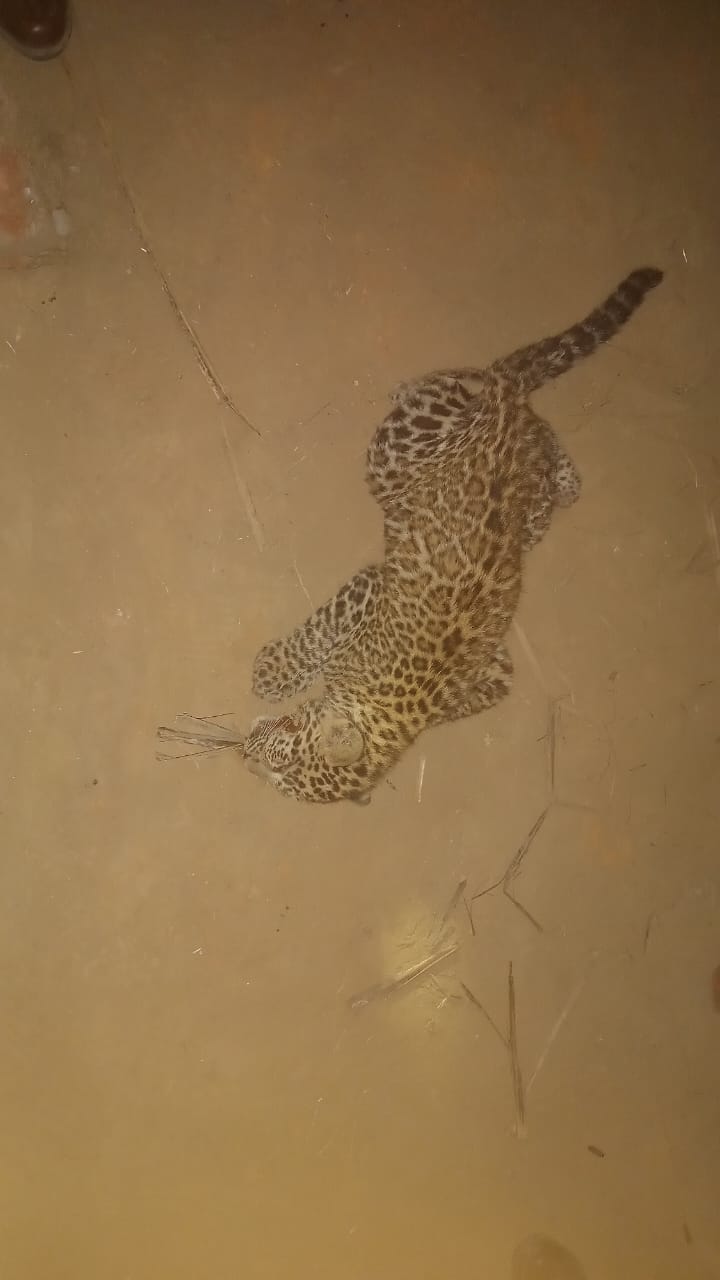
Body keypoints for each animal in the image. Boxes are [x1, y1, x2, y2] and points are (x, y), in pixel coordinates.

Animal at [243, 267, 663, 804]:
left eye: (280, 766)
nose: (243, 750)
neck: (388, 710)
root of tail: (502, 413)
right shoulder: (375, 584)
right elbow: (321, 631)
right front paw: (276, 671)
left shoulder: (487, 661)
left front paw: (276, 675)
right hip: (403, 453)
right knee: (494, 391)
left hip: (407, 460)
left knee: (510, 409)